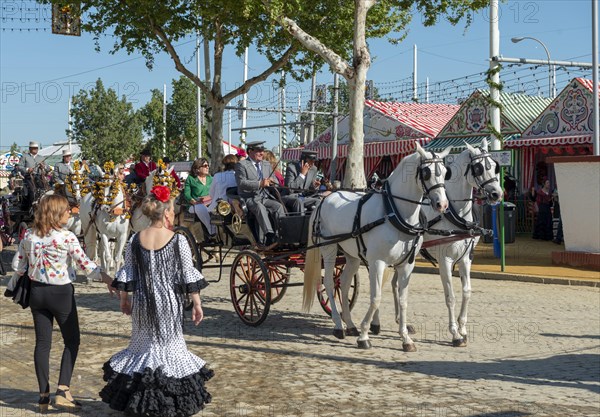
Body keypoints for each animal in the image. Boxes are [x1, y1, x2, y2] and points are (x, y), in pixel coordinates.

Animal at [302, 141, 452, 350]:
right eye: (426, 173)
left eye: (445, 172)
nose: (442, 205)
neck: (394, 213)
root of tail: (324, 198)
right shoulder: (377, 262)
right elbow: (376, 297)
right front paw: (365, 334)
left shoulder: (407, 265)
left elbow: (403, 299)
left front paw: (405, 338)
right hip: (329, 249)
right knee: (330, 284)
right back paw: (339, 326)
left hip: (352, 256)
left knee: (345, 283)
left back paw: (350, 324)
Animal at [382, 138, 504, 350]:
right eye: (479, 168)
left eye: (494, 166)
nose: (497, 194)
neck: (455, 214)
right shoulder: (445, 260)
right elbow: (451, 296)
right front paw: (455, 334)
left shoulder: (466, 258)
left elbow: (467, 292)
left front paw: (463, 329)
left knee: (395, 284)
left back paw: (401, 322)